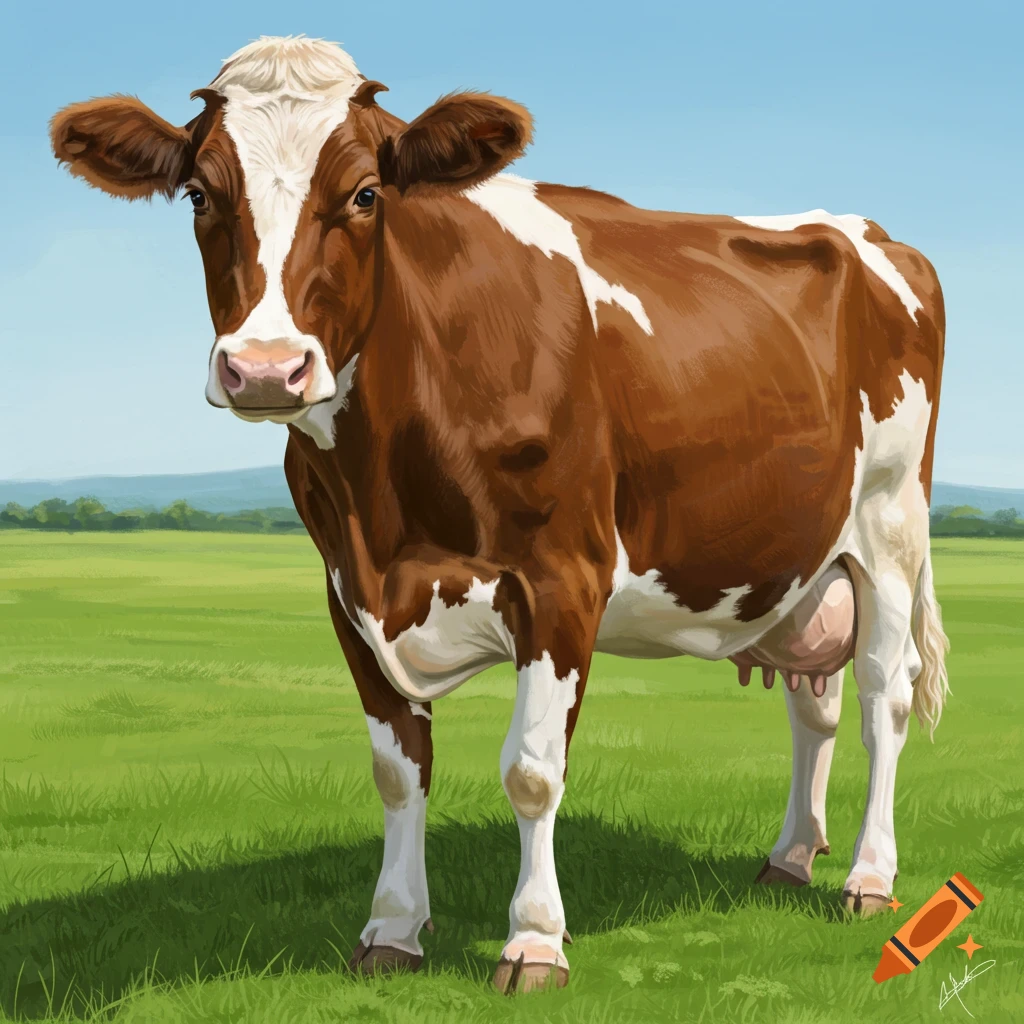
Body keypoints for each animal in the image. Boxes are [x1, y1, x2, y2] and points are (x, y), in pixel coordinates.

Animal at [51, 35, 950, 994]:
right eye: (199, 194)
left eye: (367, 194)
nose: (264, 368)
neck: (386, 502)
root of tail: (867, 230)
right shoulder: (347, 591)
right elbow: (398, 771)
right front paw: (392, 931)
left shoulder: (561, 579)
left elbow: (532, 771)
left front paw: (534, 941)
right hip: (804, 561)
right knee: (814, 704)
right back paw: (789, 859)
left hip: (889, 529)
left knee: (881, 698)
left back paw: (868, 877)